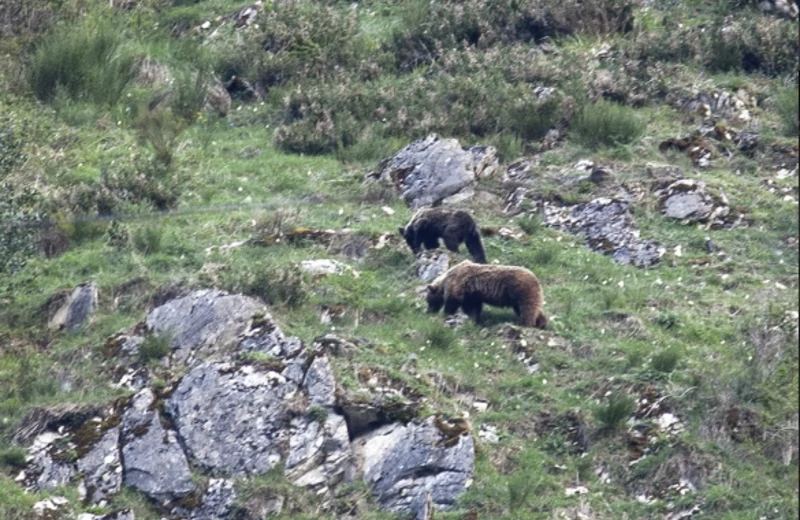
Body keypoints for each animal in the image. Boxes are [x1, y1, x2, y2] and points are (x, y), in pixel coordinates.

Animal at [424, 260, 552, 330]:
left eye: (428, 300)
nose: (428, 311)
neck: (444, 281)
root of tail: (536, 279)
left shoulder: (458, 284)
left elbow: (453, 301)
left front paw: (446, 313)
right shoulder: (471, 294)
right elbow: (472, 307)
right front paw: (474, 319)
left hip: (521, 290)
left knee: (527, 309)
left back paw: (526, 324)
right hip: (521, 296)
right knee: (533, 309)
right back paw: (542, 323)